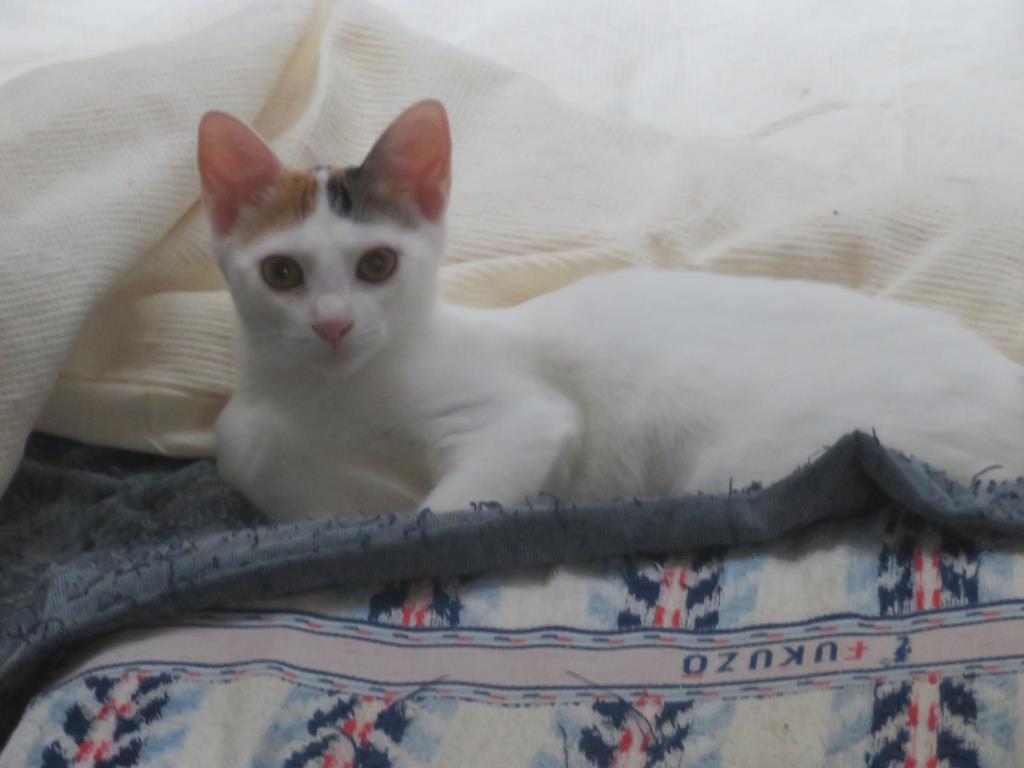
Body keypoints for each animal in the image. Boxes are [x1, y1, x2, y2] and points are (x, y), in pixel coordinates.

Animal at [198, 100, 1024, 521]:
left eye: (377, 265)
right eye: (282, 272)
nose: (333, 324)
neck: (329, 399)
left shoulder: (524, 420)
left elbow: (439, 509)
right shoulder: (254, 430)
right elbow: (247, 445)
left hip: (750, 460)